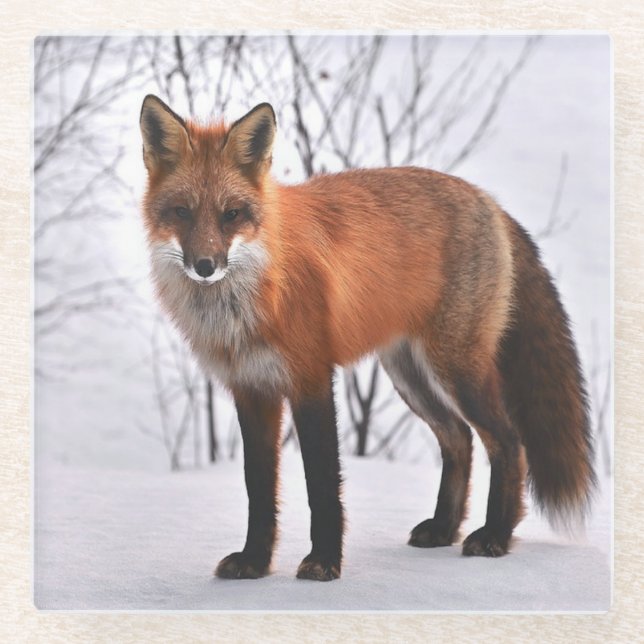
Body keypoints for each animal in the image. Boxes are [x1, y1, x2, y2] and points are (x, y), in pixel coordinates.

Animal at [138, 95, 595, 582]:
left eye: (231, 214)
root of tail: (488, 200)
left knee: (508, 442)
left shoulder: (311, 378)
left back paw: (495, 536)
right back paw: (444, 529)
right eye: (182, 211)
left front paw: (324, 562)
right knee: (459, 440)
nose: (205, 266)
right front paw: (255, 562)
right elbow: (258, 489)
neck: (249, 298)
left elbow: (322, 484)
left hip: (456, 370)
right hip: (410, 376)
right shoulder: (251, 388)